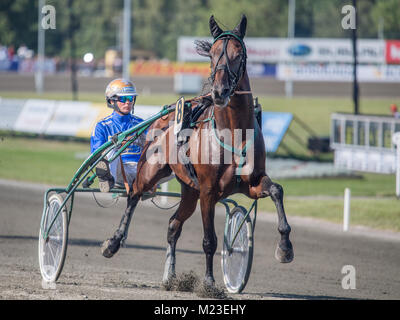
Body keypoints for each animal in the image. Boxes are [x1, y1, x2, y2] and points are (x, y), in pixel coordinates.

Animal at [100, 13, 294, 286]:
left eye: (238, 53)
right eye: (212, 54)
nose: (219, 91)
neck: (232, 133)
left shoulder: (251, 183)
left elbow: (277, 190)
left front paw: (285, 248)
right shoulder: (208, 191)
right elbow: (209, 240)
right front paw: (209, 282)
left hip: (190, 191)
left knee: (173, 225)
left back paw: (170, 276)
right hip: (152, 173)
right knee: (134, 195)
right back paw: (113, 242)